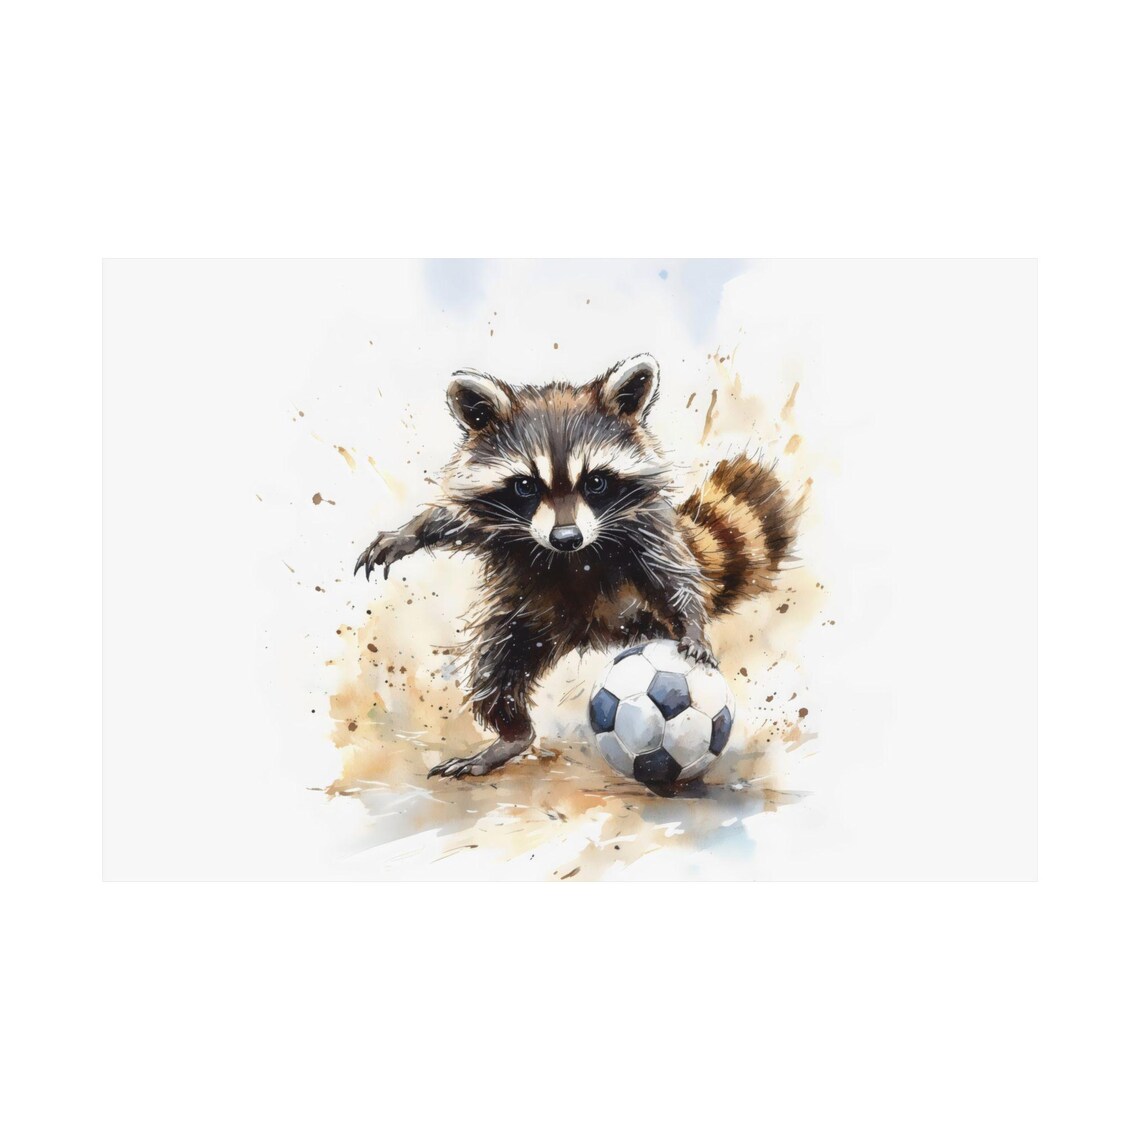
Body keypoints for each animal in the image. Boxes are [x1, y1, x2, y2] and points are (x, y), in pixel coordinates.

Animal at [355, 354, 797, 778]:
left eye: (596, 482)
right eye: (525, 485)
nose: (565, 538)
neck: (571, 559)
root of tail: (594, 630)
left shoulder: (642, 525)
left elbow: (671, 575)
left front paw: (692, 624)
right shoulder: (495, 519)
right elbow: (452, 520)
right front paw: (410, 532)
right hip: (525, 619)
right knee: (495, 668)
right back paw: (512, 734)